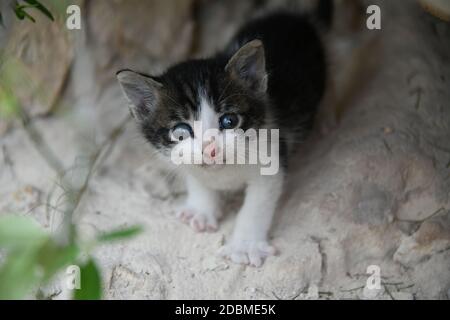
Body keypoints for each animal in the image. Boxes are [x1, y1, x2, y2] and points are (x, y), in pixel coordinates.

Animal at [118, 1, 332, 266]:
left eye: (229, 121)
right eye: (181, 131)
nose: (210, 149)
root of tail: (292, 13)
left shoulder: (272, 156)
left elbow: (255, 207)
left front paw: (245, 245)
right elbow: (197, 179)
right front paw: (201, 210)